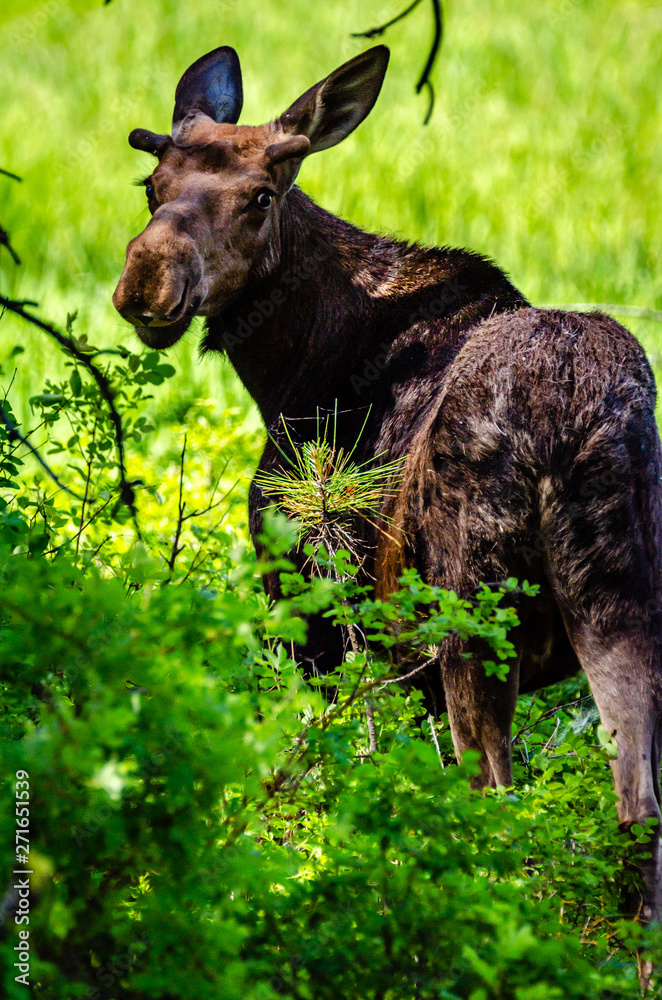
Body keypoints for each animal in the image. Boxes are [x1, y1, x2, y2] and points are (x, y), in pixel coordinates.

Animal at [114, 45, 662, 928]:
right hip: (621, 595)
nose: (148, 281)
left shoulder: (310, 605)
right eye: (151, 185)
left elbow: (324, 764)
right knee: (636, 810)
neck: (285, 365)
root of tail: (576, 416)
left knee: (496, 798)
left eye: (261, 196)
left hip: (473, 613)